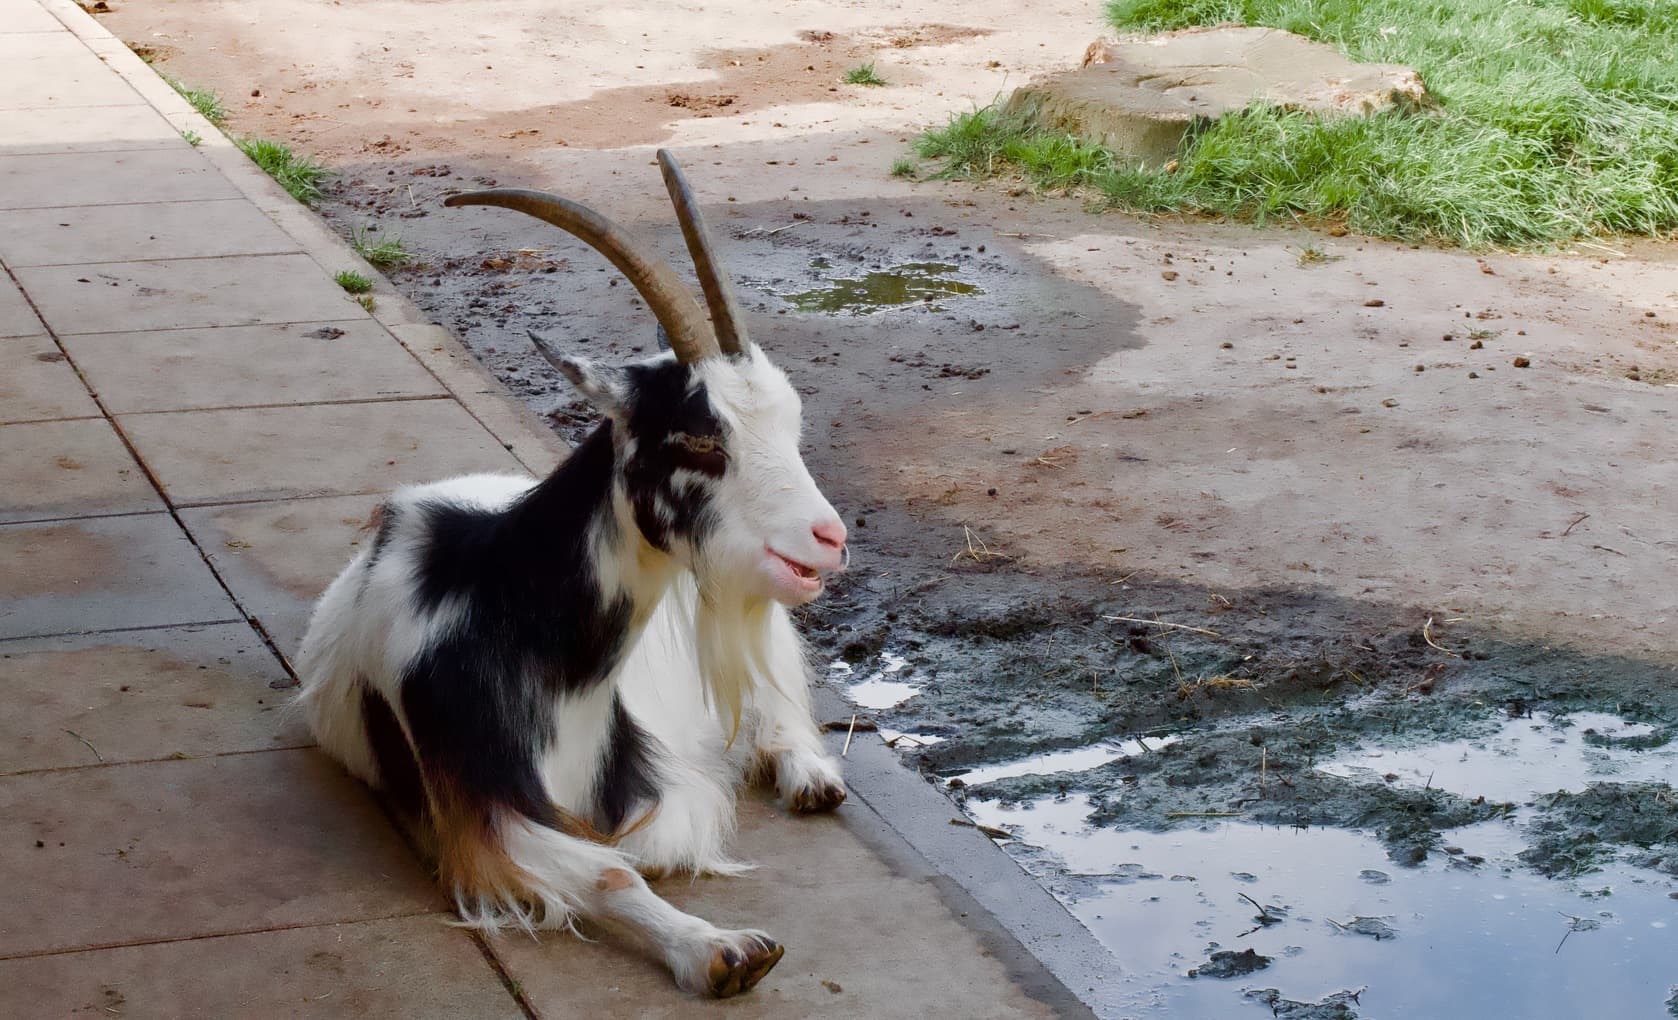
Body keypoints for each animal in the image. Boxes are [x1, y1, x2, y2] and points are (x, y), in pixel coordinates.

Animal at [295, 151, 848, 998]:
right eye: (698, 441)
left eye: (792, 424)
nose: (828, 538)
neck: (510, 613)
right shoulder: (485, 810)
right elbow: (613, 871)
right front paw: (722, 950)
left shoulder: (645, 785)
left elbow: (644, 846)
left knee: (776, 705)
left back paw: (811, 775)